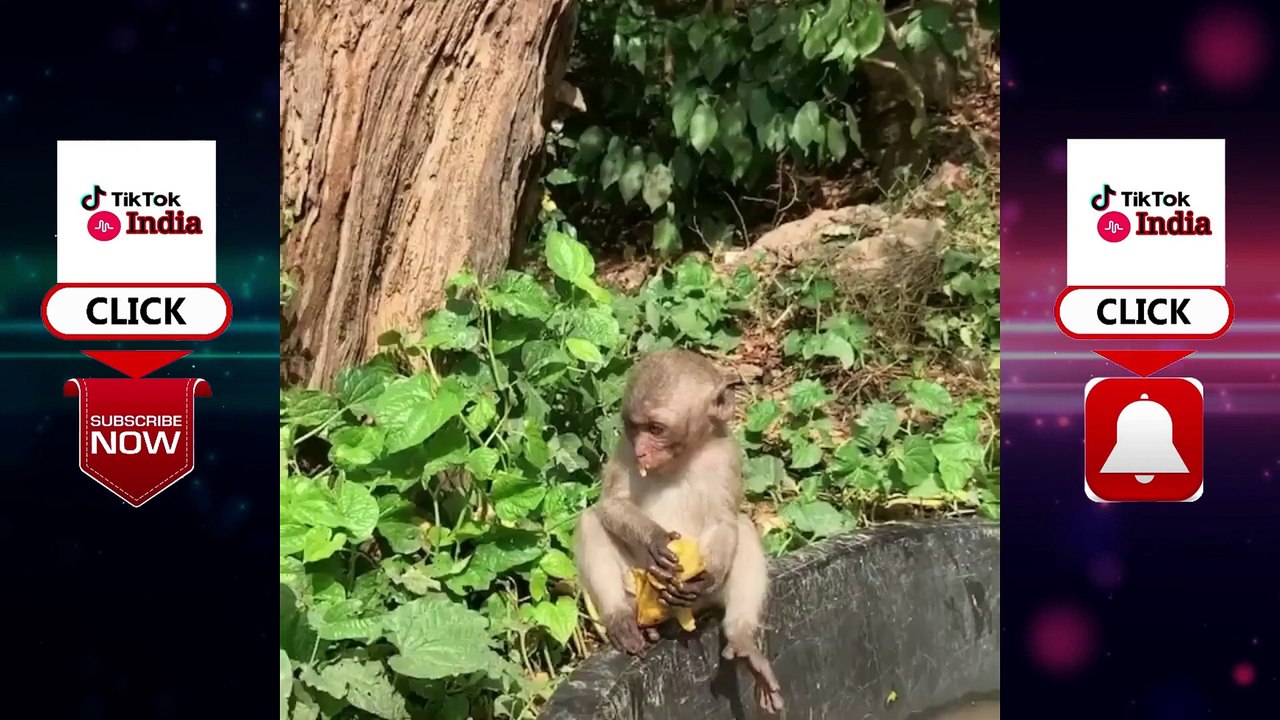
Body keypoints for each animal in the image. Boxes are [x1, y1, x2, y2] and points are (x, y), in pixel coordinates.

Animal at [574, 348, 784, 713]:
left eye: (656, 428)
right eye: (635, 427)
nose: (642, 450)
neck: (682, 458)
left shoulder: (727, 456)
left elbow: (724, 521)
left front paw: (707, 576)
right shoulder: (623, 447)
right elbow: (612, 505)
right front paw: (655, 539)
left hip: (701, 605)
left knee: (743, 527)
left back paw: (742, 639)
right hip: (635, 587)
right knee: (591, 521)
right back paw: (621, 619)